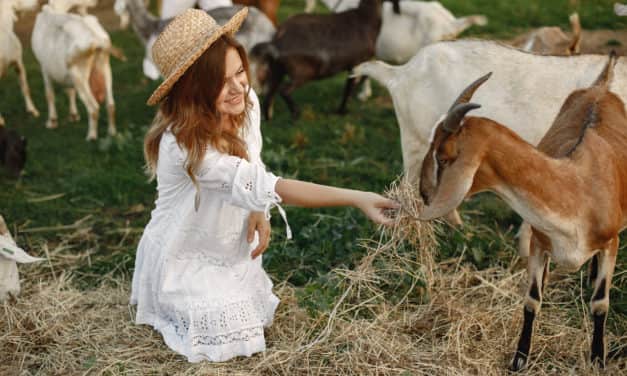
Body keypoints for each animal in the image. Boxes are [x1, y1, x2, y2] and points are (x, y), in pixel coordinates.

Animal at [31, 0, 116, 140]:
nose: (95, 2)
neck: (56, 9)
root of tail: (97, 40)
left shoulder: (44, 67)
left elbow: (49, 94)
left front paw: (52, 121)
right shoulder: (65, 74)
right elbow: (70, 91)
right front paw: (74, 116)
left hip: (79, 75)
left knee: (93, 108)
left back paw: (91, 136)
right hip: (105, 68)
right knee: (110, 104)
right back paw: (112, 133)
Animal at [418, 53, 624, 370]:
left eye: (443, 156)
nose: (423, 192)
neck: (576, 189)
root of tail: (600, 87)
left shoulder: (611, 243)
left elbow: (600, 303)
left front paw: (597, 360)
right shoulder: (539, 242)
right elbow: (531, 300)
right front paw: (519, 360)